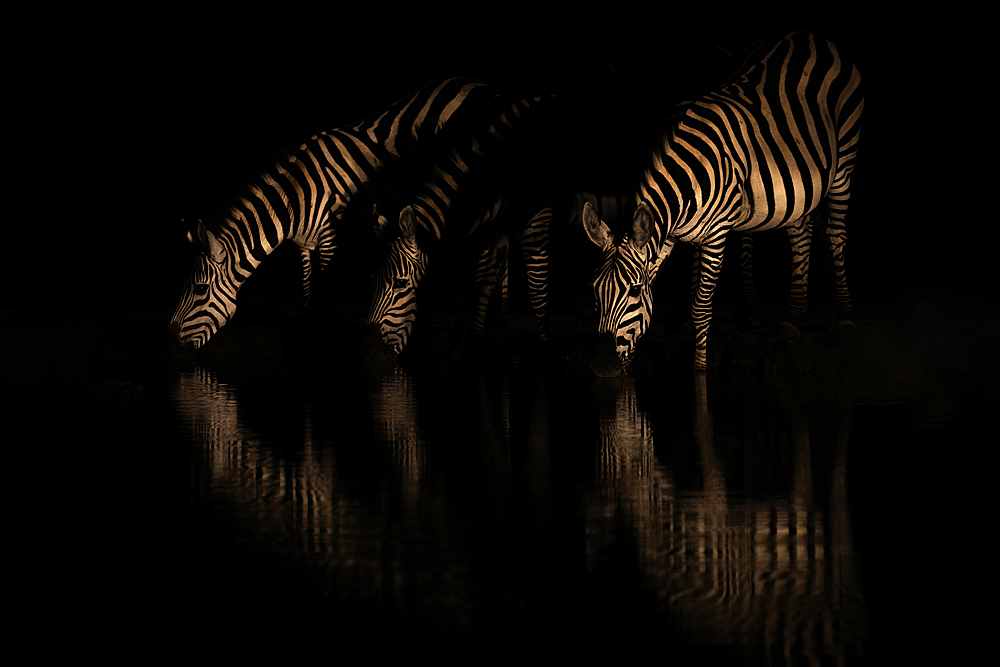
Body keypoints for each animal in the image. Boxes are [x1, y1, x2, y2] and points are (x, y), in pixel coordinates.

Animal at [172, 78, 500, 350]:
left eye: (200, 289)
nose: (171, 342)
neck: (295, 198)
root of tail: (477, 84)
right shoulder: (305, 243)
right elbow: (309, 291)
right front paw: (308, 336)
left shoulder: (332, 235)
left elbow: (328, 290)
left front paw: (326, 341)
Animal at [364, 91, 560, 368]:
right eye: (372, 281)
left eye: (401, 284)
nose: (367, 354)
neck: (494, 175)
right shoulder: (490, 229)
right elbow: (480, 285)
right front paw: (470, 347)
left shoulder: (539, 216)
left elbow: (537, 289)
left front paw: (544, 348)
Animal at [584, 34, 864, 376]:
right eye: (594, 290)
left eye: (635, 290)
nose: (601, 365)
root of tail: (807, 36)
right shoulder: (674, 234)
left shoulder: (716, 233)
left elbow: (702, 306)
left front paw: (699, 369)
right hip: (798, 189)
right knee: (801, 236)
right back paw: (792, 320)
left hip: (844, 161)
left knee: (837, 234)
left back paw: (844, 315)